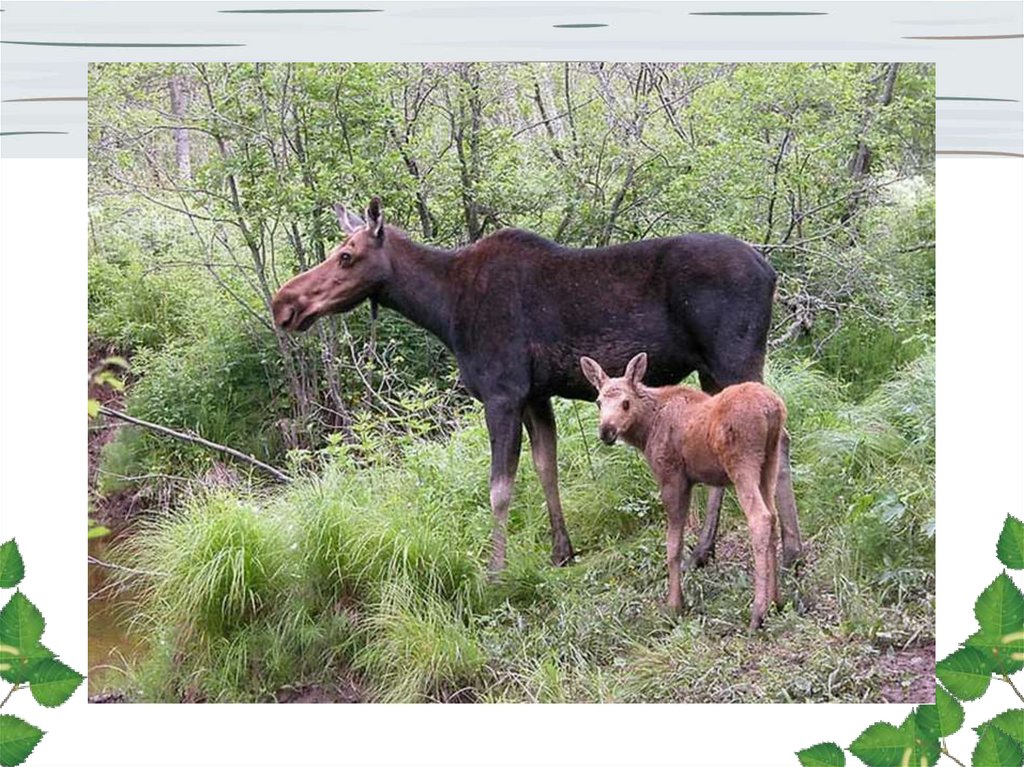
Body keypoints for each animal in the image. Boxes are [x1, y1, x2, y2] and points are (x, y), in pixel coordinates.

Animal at [276, 197, 802, 573]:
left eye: (346, 255)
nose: (284, 304)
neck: (442, 311)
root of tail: (771, 270)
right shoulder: (535, 395)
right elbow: (546, 468)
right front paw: (561, 551)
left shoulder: (502, 393)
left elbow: (500, 488)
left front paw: (496, 571)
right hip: (713, 367)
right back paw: (705, 549)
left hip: (735, 357)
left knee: (780, 438)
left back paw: (791, 551)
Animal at [581, 352, 786, 626]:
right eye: (598, 402)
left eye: (626, 403)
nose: (606, 431)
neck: (646, 431)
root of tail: (771, 409)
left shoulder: (672, 476)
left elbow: (673, 545)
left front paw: (674, 605)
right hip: (770, 460)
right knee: (773, 516)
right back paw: (776, 601)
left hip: (742, 462)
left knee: (760, 518)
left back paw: (758, 612)